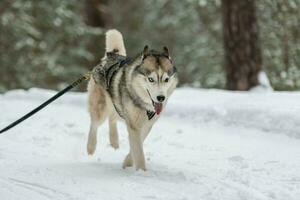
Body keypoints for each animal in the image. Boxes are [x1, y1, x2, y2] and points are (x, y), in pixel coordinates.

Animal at [86, 29, 178, 170]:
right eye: (151, 79)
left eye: (166, 79)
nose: (161, 98)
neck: (144, 106)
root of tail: (111, 56)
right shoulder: (134, 125)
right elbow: (139, 152)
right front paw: (141, 171)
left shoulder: (146, 125)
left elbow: (137, 146)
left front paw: (127, 163)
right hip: (100, 108)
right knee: (94, 124)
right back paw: (91, 147)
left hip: (117, 108)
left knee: (112, 118)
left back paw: (114, 141)